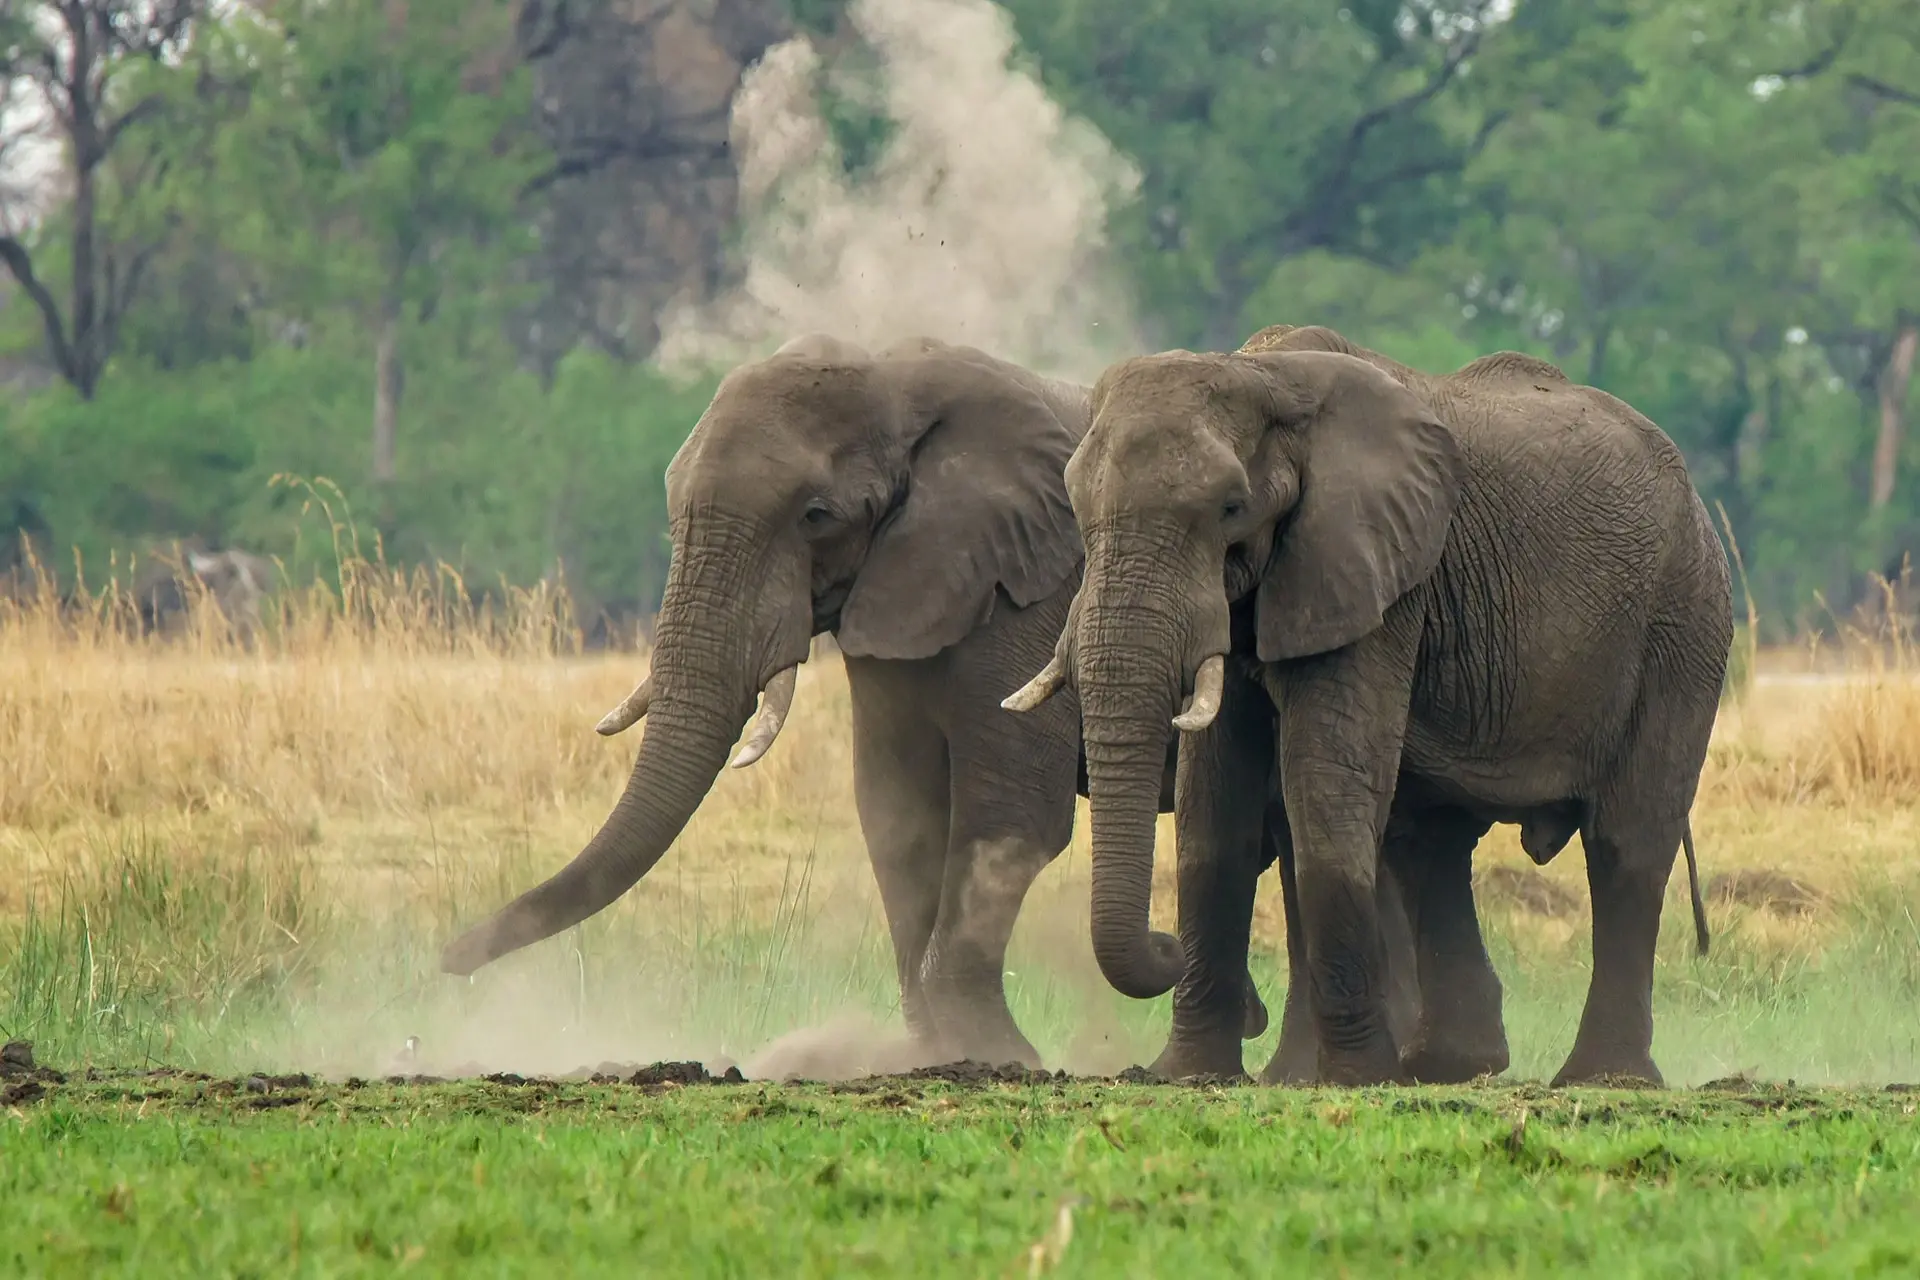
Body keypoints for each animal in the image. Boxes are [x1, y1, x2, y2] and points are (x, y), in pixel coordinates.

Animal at [437, 333, 1262, 1069]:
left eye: (816, 516)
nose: (448, 960)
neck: (894, 377)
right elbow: (897, 816)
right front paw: (934, 1054)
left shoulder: (1029, 590)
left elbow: (1011, 815)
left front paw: (1000, 1055)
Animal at [1003, 323, 1728, 1088]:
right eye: (1076, 509)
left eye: (1231, 508)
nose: (1163, 944)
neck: (1264, 374)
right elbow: (1214, 808)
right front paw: (1188, 1076)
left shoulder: (1375, 573)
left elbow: (1324, 783)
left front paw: (1350, 1078)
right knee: (1431, 841)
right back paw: (1447, 1065)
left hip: (1683, 620)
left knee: (1627, 838)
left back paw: (1601, 1079)